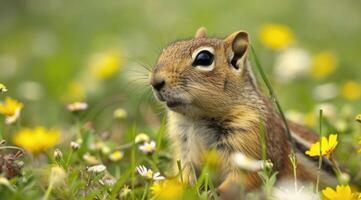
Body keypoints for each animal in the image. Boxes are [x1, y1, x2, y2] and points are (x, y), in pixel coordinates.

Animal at [148, 27, 336, 198]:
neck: (197, 119)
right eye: (167, 50)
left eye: (204, 58)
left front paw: (213, 193)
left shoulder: (251, 143)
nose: (155, 82)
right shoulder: (184, 148)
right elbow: (184, 172)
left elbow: (243, 180)